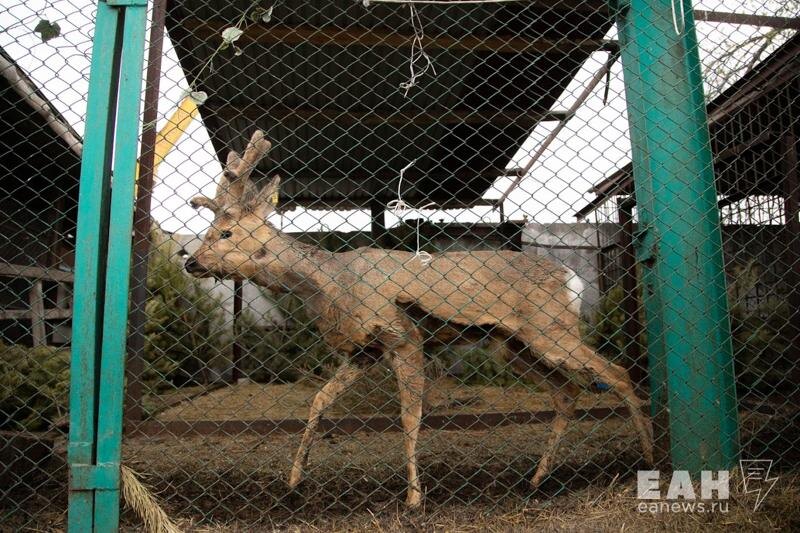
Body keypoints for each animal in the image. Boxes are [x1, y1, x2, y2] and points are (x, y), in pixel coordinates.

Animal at [184, 130, 654, 508]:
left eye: (225, 232)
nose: (191, 262)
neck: (331, 284)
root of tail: (570, 277)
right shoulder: (364, 351)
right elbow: (319, 400)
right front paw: (294, 480)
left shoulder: (403, 335)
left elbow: (410, 416)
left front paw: (413, 498)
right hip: (513, 344)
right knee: (567, 392)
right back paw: (537, 480)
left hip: (549, 328)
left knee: (616, 372)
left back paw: (649, 458)